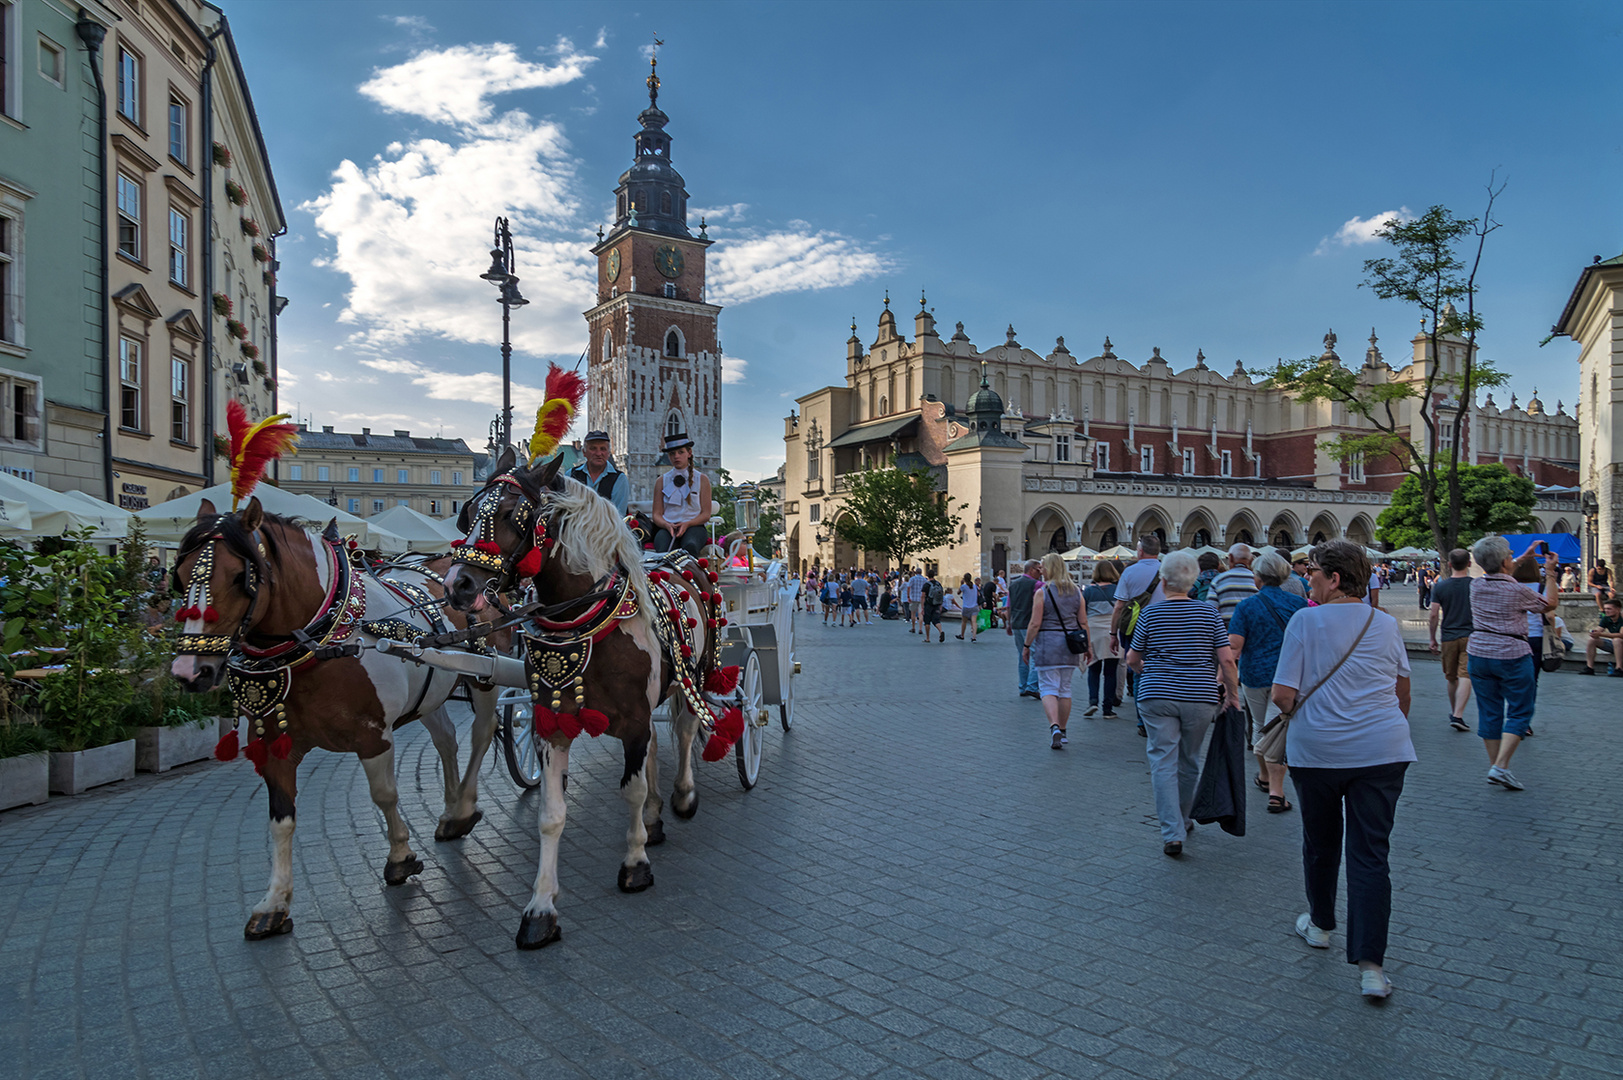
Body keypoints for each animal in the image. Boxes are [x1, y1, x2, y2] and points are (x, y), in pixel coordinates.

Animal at [170, 493, 499, 935]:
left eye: (241, 577)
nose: (190, 672)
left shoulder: (373, 735)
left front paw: (400, 857)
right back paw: (450, 812)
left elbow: (385, 795)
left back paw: (463, 804)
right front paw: (275, 901)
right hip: (431, 690)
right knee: (446, 738)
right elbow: (281, 819)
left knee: (482, 733)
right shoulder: (274, 746)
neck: (322, 640)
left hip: (485, 676)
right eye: (180, 574)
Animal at [438, 451, 730, 948]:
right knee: (658, 743)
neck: (584, 617)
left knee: (687, 731)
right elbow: (551, 814)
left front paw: (635, 865)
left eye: (510, 514)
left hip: (697, 673)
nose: (458, 585)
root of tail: (681, 556)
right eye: (468, 512)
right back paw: (655, 817)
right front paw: (540, 909)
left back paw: (682, 796)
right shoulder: (553, 722)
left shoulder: (633, 720)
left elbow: (631, 789)